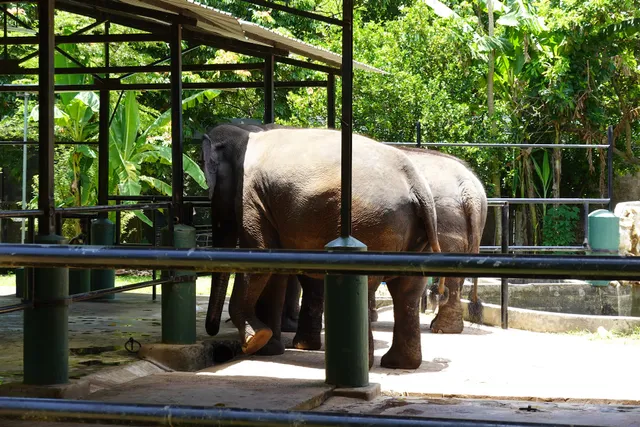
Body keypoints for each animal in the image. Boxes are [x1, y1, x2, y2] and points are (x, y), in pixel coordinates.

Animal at [202, 124, 444, 369]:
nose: (212, 331)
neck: (246, 134)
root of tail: (416, 182)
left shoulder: (251, 195)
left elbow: (259, 253)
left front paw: (256, 342)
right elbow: (274, 265)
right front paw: (268, 350)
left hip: (372, 225)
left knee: (371, 285)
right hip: (414, 232)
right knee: (408, 290)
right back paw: (398, 364)